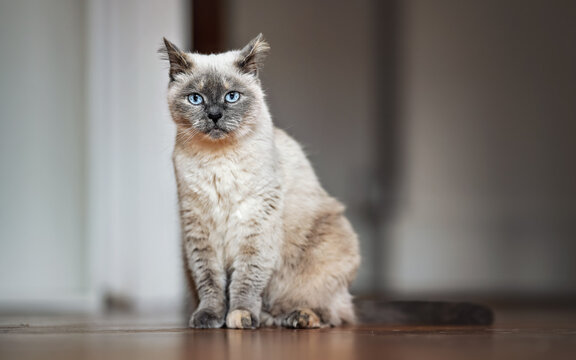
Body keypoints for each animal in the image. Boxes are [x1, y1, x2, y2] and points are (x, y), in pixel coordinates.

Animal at [160, 34, 360, 330]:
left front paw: (241, 316)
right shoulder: (199, 226)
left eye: (232, 96)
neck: (219, 158)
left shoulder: (255, 223)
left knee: (333, 314)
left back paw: (296, 318)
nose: (215, 115)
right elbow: (210, 282)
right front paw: (210, 318)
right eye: (195, 99)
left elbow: (246, 280)